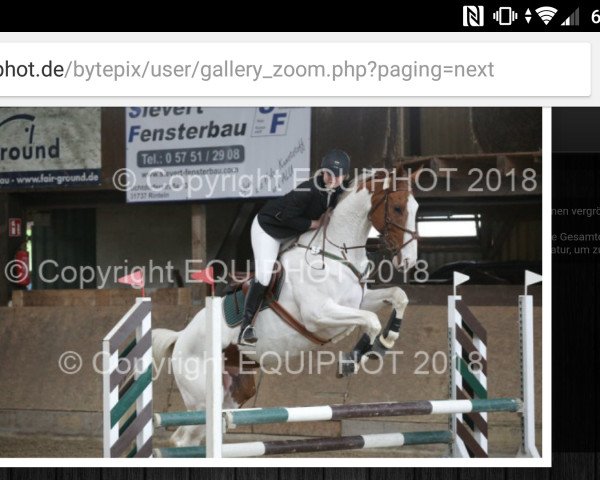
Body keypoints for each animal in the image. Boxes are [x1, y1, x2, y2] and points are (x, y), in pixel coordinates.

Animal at [152, 167, 420, 448]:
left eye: (416, 208)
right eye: (398, 208)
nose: (409, 261)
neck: (336, 253)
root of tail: (180, 337)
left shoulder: (358, 300)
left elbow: (398, 296)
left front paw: (385, 342)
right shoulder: (319, 315)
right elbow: (370, 320)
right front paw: (353, 359)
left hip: (233, 393)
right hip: (202, 398)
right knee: (183, 438)